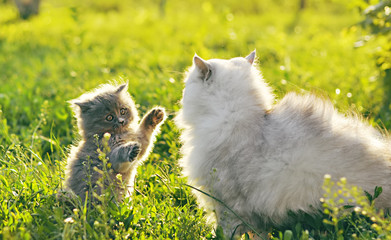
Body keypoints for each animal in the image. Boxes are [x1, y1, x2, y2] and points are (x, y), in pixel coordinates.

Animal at [176, 50, 391, 238]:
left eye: (187, 85)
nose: (182, 93)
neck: (246, 122)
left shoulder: (227, 205)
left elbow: (224, 232)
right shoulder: (252, 217)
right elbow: (258, 235)